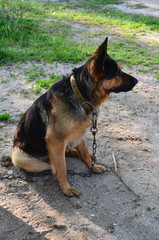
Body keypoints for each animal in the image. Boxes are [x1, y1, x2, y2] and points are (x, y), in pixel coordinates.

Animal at [11, 38, 137, 197]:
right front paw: (66, 188)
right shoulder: (55, 140)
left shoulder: (80, 134)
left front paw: (92, 166)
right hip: (21, 158)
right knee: (53, 164)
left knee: (70, 153)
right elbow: (62, 168)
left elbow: (85, 154)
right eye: (118, 73)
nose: (137, 81)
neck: (79, 94)